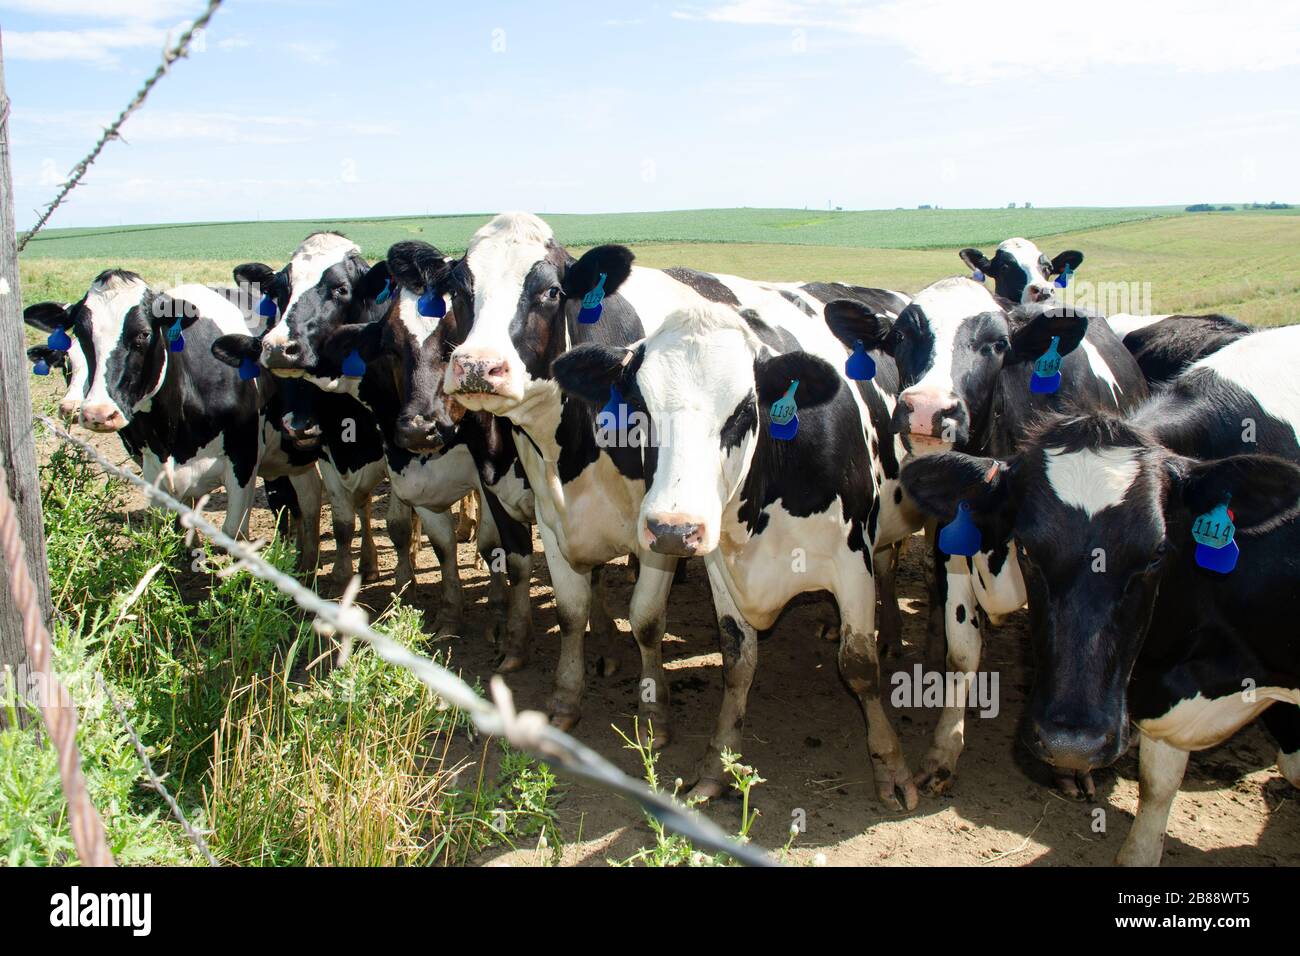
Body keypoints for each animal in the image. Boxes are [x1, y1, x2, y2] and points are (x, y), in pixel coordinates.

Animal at [22, 271, 323, 563]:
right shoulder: (151, 469)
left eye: (143, 334)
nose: (96, 413)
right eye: (81, 335)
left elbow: (233, 534)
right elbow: (173, 532)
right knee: (308, 495)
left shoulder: (244, 459)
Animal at [552, 301, 919, 809]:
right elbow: (737, 662)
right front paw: (717, 764)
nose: (673, 529)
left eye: (745, 410)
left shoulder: (852, 561)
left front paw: (891, 766)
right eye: (639, 408)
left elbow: (860, 667)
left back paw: (893, 634)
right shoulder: (720, 566)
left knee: (889, 570)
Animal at [825, 279, 1147, 796]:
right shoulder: (955, 546)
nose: (927, 409)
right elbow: (962, 651)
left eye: (996, 344)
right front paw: (943, 750)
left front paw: (1070, 766)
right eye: (900, 337)